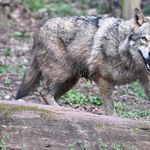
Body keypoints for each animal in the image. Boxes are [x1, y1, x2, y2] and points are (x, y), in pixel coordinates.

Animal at [15, 7, 150, 116]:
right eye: (144, 39)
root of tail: (42, 27)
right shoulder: (104, 80)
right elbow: (111, 113)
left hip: (70, 81)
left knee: (48, 95)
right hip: (64, 75)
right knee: (44, 92)